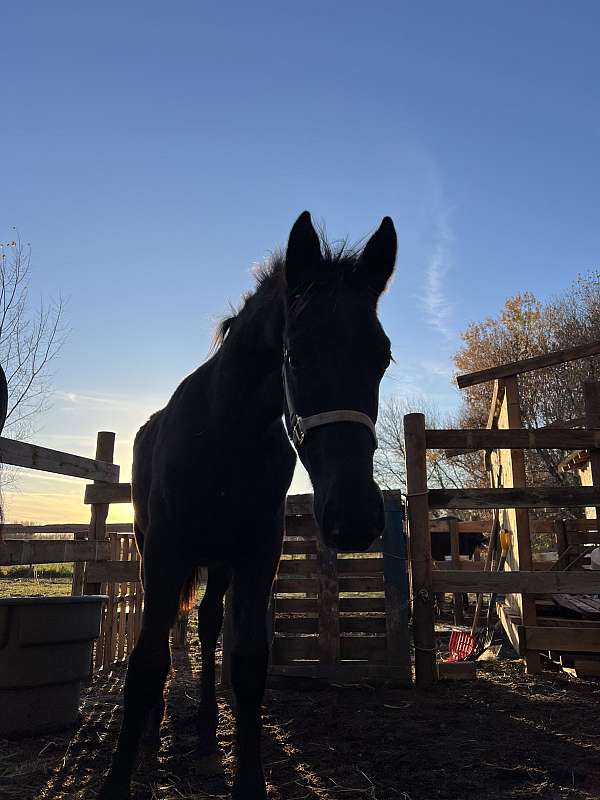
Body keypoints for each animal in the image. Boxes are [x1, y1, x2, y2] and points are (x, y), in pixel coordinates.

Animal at [100, 211, 396, 800]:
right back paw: (154, 726)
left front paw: (248, 779)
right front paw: (120, 776)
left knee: (210, 624)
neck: (223, 437)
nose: (354, 517)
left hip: (219, 565)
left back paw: (206, 727)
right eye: (295, 356)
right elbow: (146, 662)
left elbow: (248, 664)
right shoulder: (165, 556)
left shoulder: (258, 556)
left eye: (383, 357)